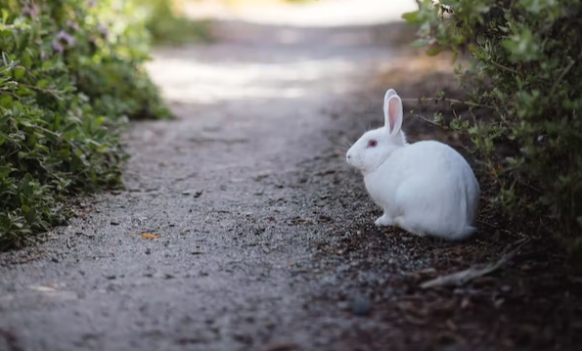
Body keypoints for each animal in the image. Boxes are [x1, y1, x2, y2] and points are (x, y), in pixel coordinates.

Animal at [350, 89, 482, 241]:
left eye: (372, 143)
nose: (348, 156)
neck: (387, 158)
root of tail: (460, 227)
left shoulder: (390, 205)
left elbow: (388, 215)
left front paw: (379, 221)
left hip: (407, 198)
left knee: (420, 231)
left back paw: (399, 222)